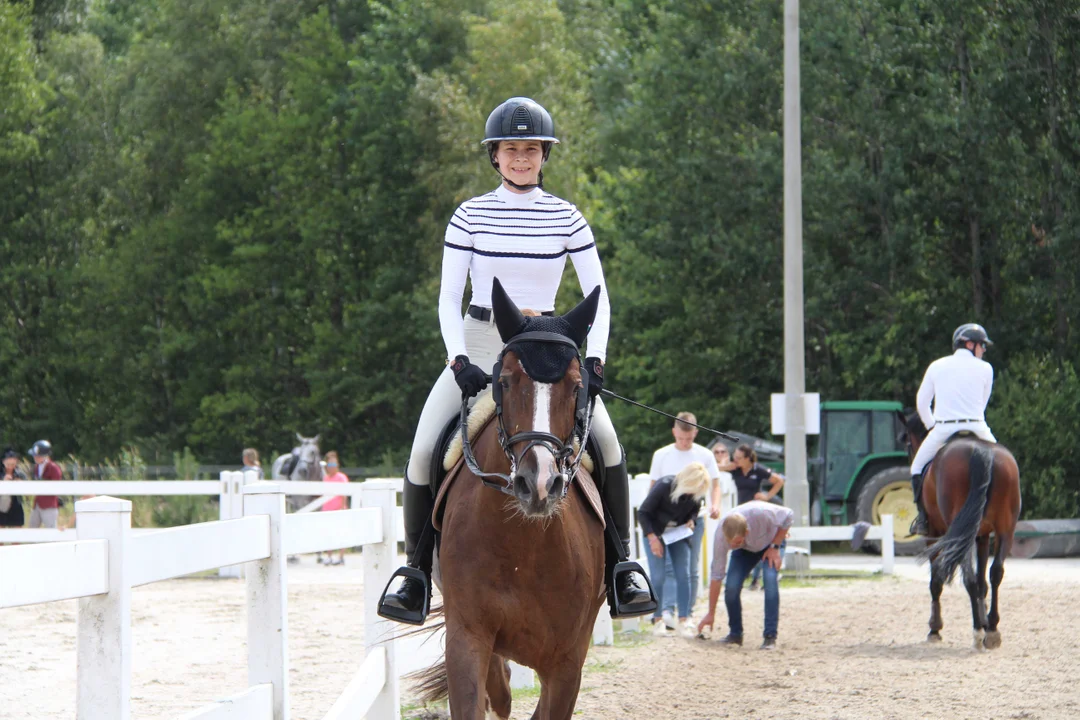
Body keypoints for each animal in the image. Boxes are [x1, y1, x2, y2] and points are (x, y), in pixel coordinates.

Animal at [416, 280, 613, 720]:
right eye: (504, 381)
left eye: (578, 387)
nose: (537, 484)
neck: (525, 546)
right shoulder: (467, 639)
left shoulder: (567, 662)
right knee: (501, 692)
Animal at [902, 414, 1019, 651]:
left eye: (908, 442)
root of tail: (981, 452)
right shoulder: (982, 535)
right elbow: (984, 581)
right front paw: (985, 621)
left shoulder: (934, 534)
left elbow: (936, 580)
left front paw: (934, 629)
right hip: (1005, 529)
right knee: (995, 573)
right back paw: (992, 629)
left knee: (969, 578)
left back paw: (977, 632)